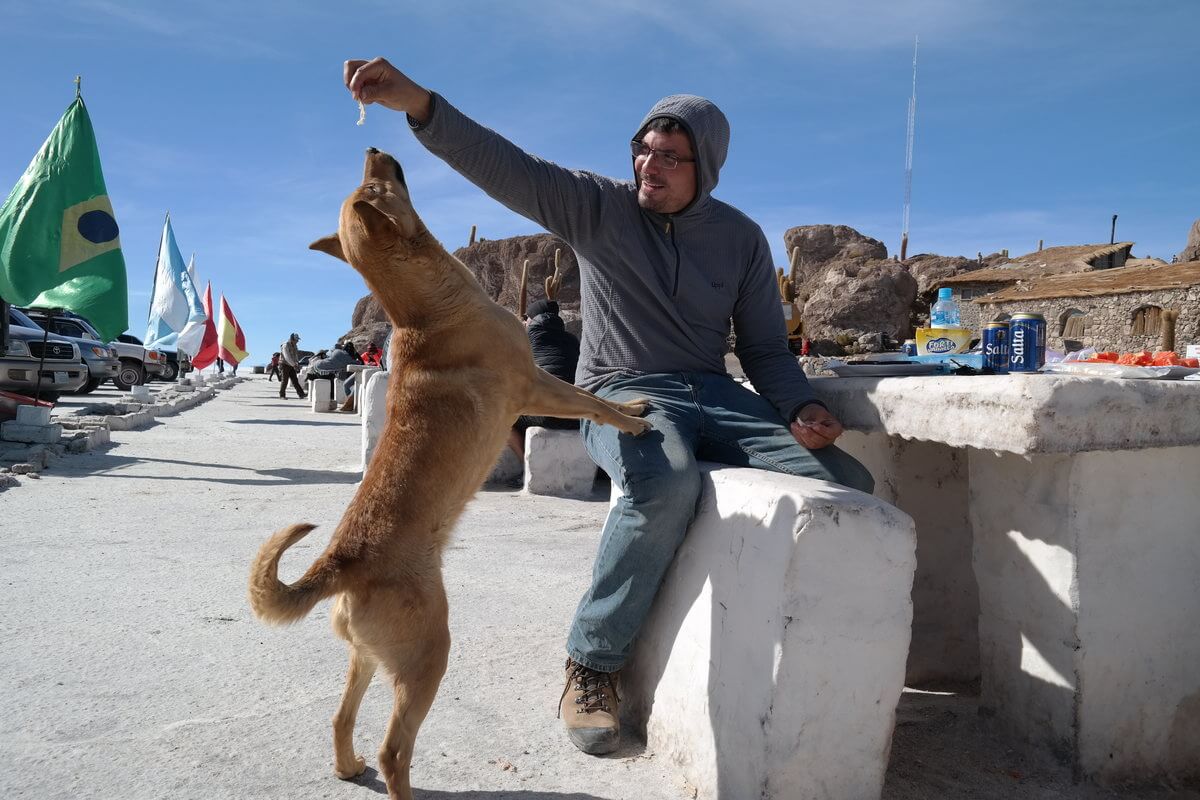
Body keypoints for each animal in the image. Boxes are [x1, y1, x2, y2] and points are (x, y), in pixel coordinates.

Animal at [247, 146, 652, 800]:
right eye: (372, 186)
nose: (373, 148)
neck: (425, 307)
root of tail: (340, 563)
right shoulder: (536, 384)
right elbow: (591, 402)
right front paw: (634, 420)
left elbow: (594, 397)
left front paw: (635, 405)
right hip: (428, 657)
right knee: (393, 751)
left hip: (368, 658)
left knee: (340, 720)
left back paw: (346, 766)